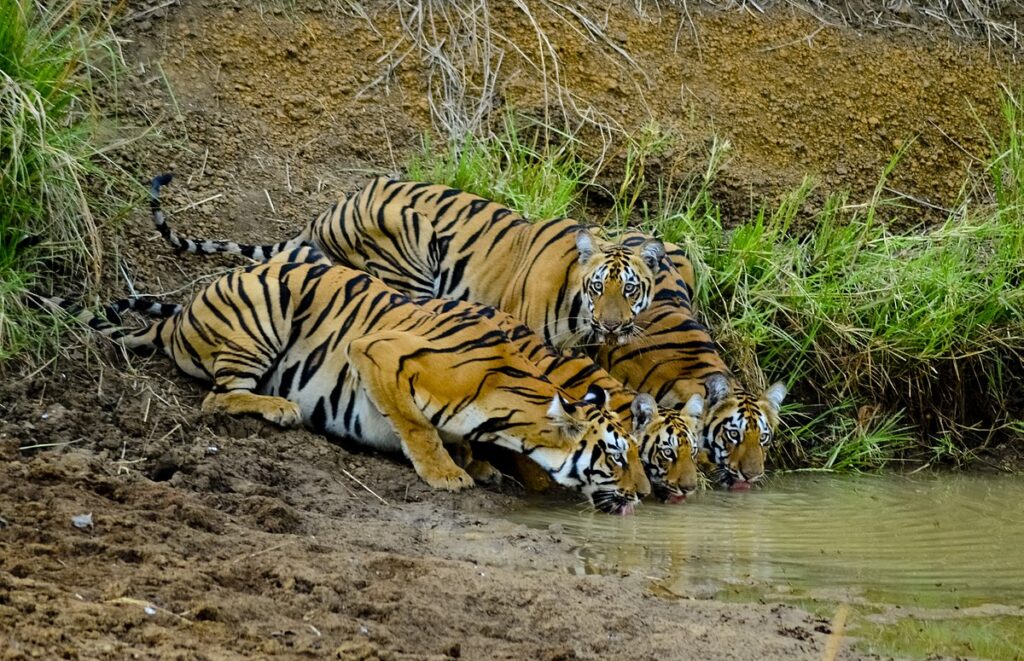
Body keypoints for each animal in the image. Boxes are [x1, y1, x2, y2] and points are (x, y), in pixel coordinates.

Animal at [41, 245, 663, 515]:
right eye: (615, 456)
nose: (644, 494)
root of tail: (178, 314)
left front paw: (476, 463)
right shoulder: (379, 351)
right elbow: (418, 426)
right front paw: (447, 474)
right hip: (264, 308)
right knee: (217, 399)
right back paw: (278, 408)